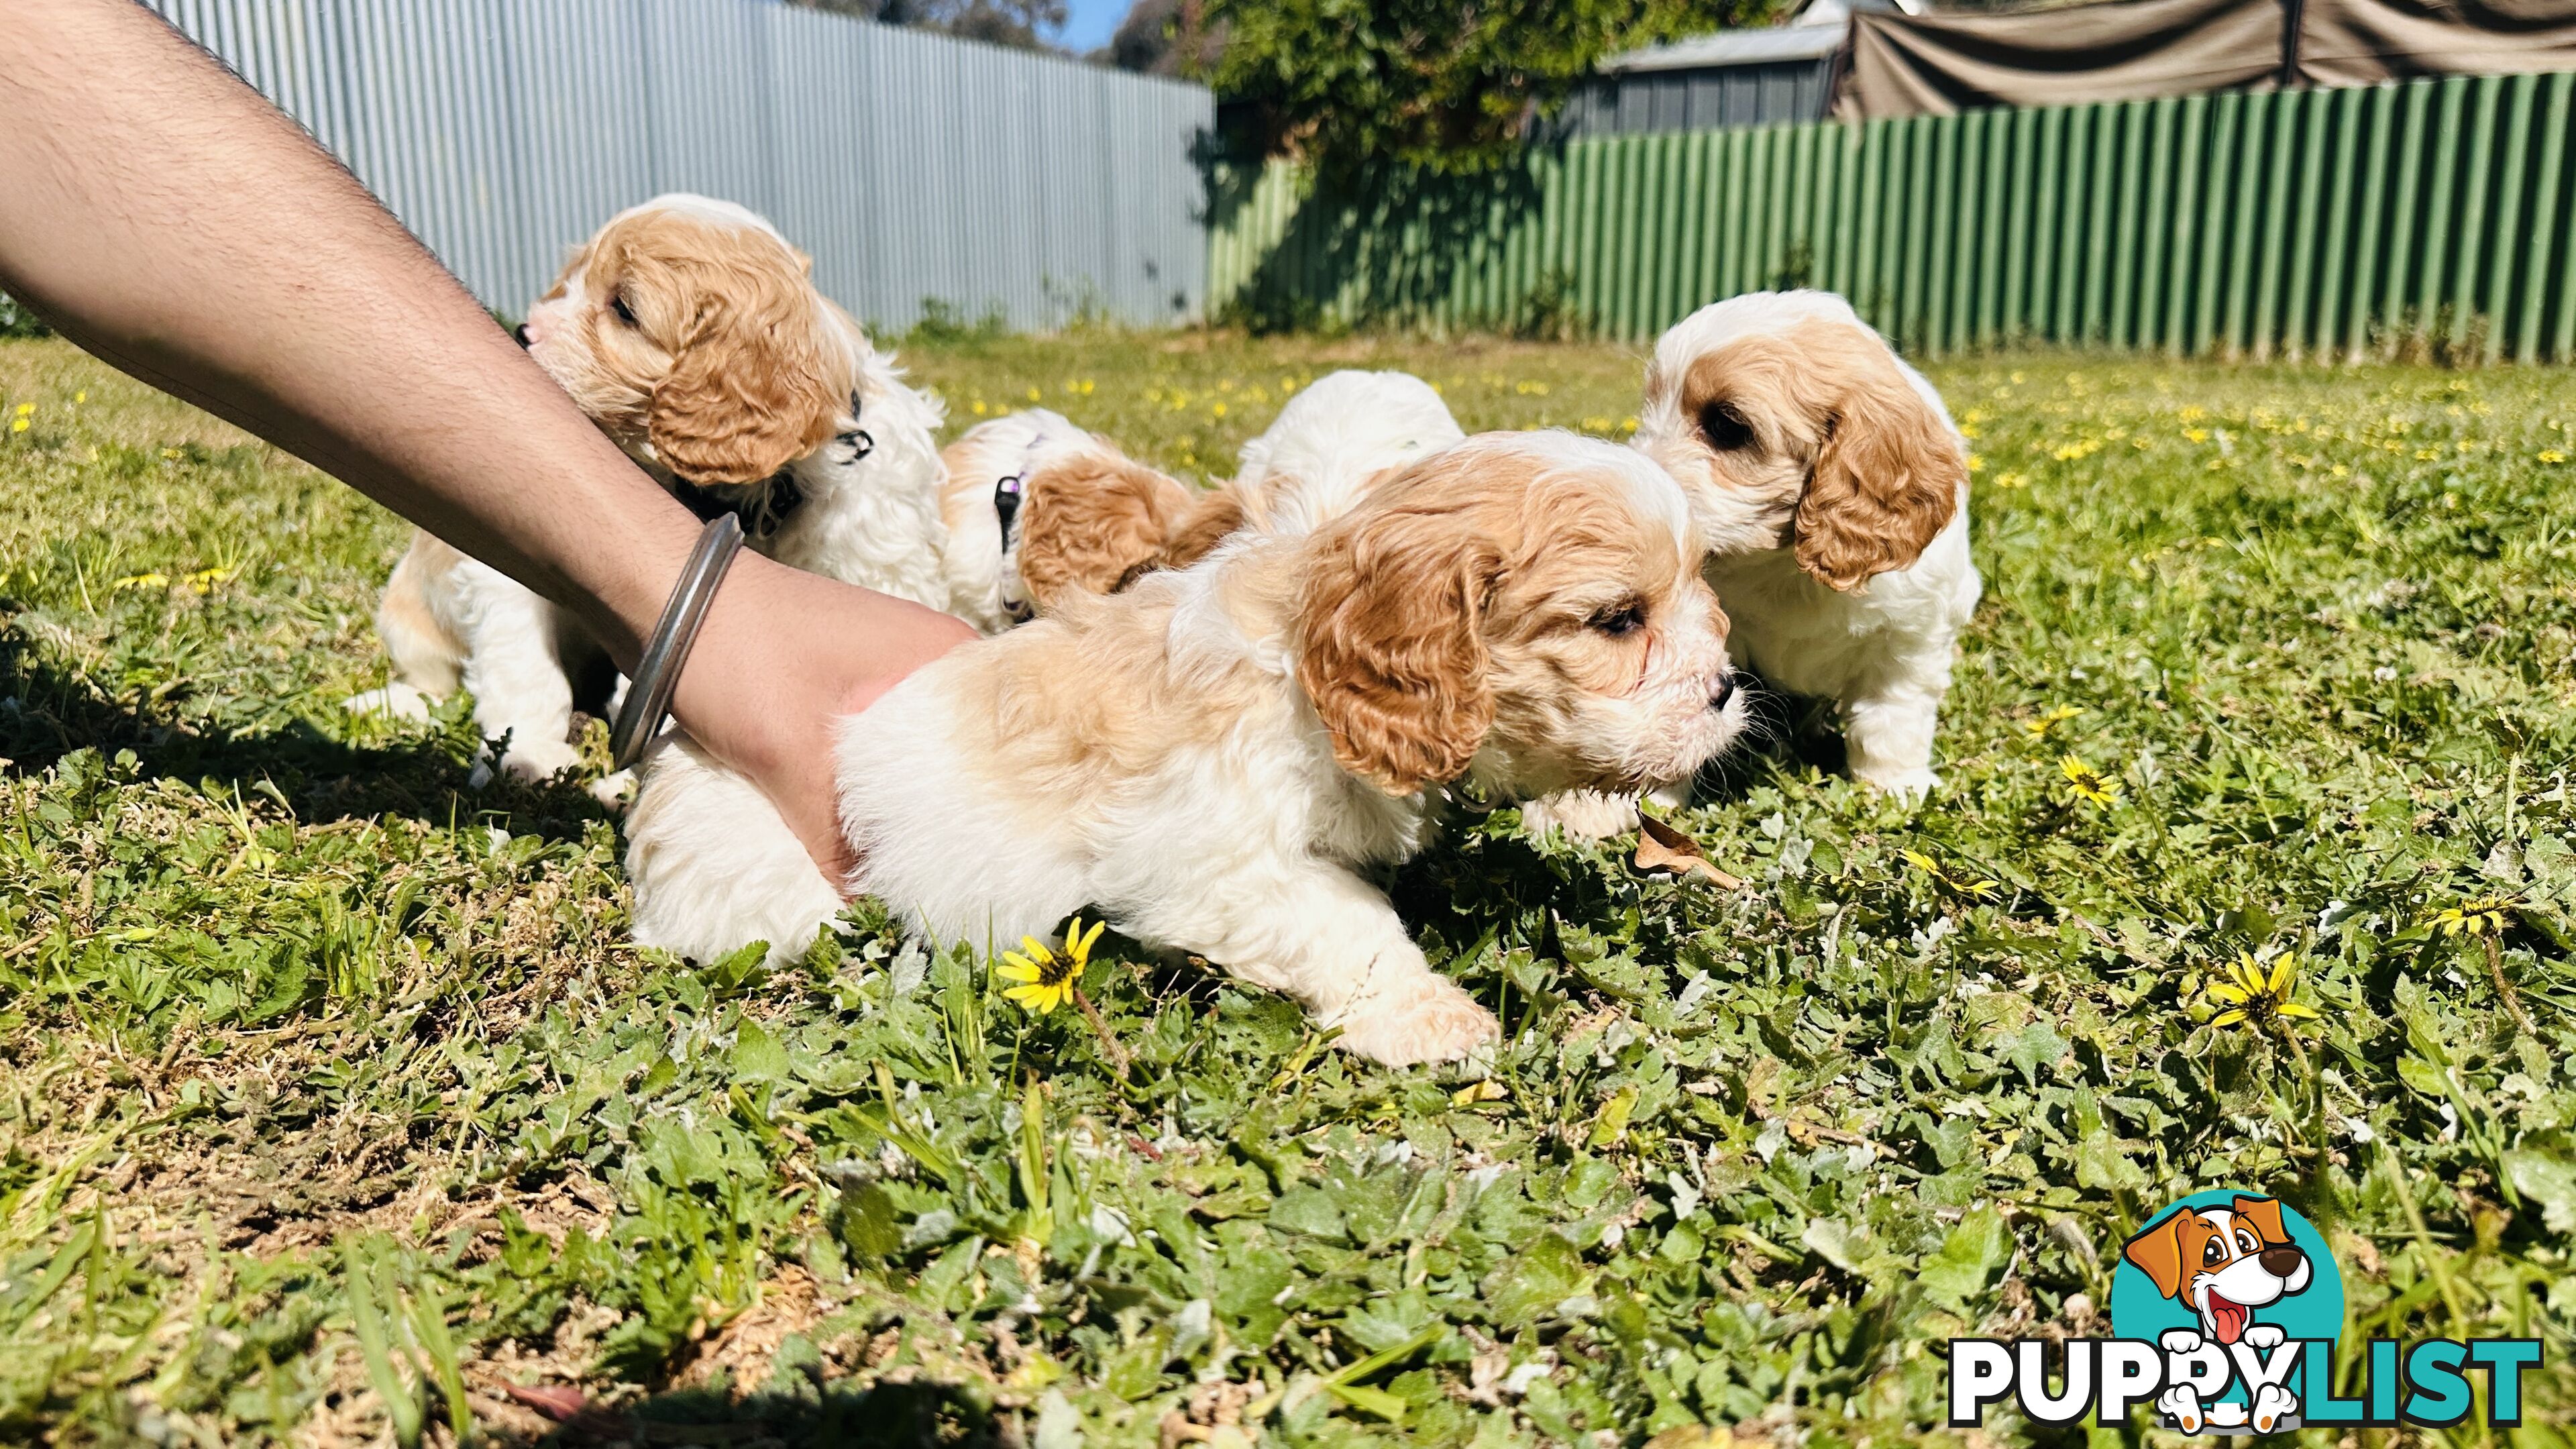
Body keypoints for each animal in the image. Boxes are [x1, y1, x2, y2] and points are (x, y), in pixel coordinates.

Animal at [347, 193, 943, 789]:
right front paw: (527, 753)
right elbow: (525, 662)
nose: (521, 333)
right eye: (572, 280)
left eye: (625, 310)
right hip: (410, 614)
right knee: (428, 677)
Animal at [623, 428, 1752, 1062]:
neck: (1304, 658)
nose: (1728, 689)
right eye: (1618, 621)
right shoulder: (1203, 856)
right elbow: (1348, 921)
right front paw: (1433, 1019)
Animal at [1525, 288, 1968, 835]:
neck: (1784, 566)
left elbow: (1893, 717)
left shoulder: (1911, 633)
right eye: (1651, 406)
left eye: (1726, 426)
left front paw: (1895, 787)